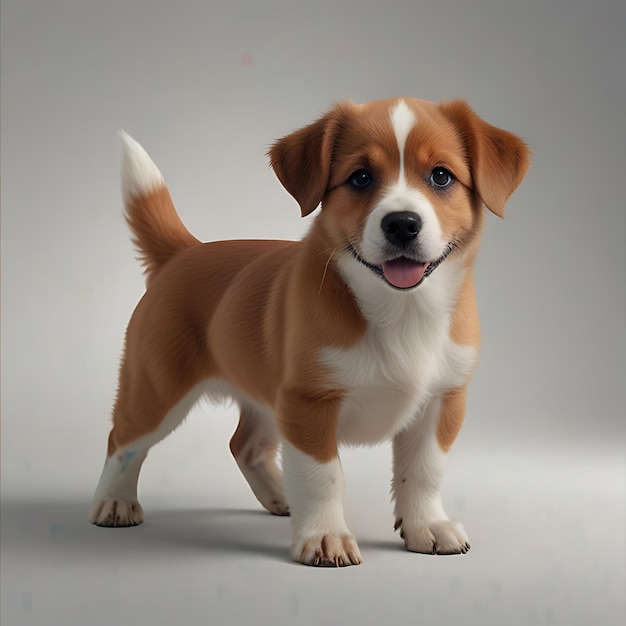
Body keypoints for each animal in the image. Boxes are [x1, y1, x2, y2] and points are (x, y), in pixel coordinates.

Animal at [90, 97, 528, 564]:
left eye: (441, 176)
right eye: (360, 177)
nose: (402, 223)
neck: (402, 311)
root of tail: (184, 252)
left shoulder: (442, 400)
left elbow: (424, 471)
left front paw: (426, 525)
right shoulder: (308, 403)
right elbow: (324, 476)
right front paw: (324, 536)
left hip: (266, 395)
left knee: (244, 445)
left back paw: (281, 497)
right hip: (157, 387)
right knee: (124, 438)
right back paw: (113, 501)